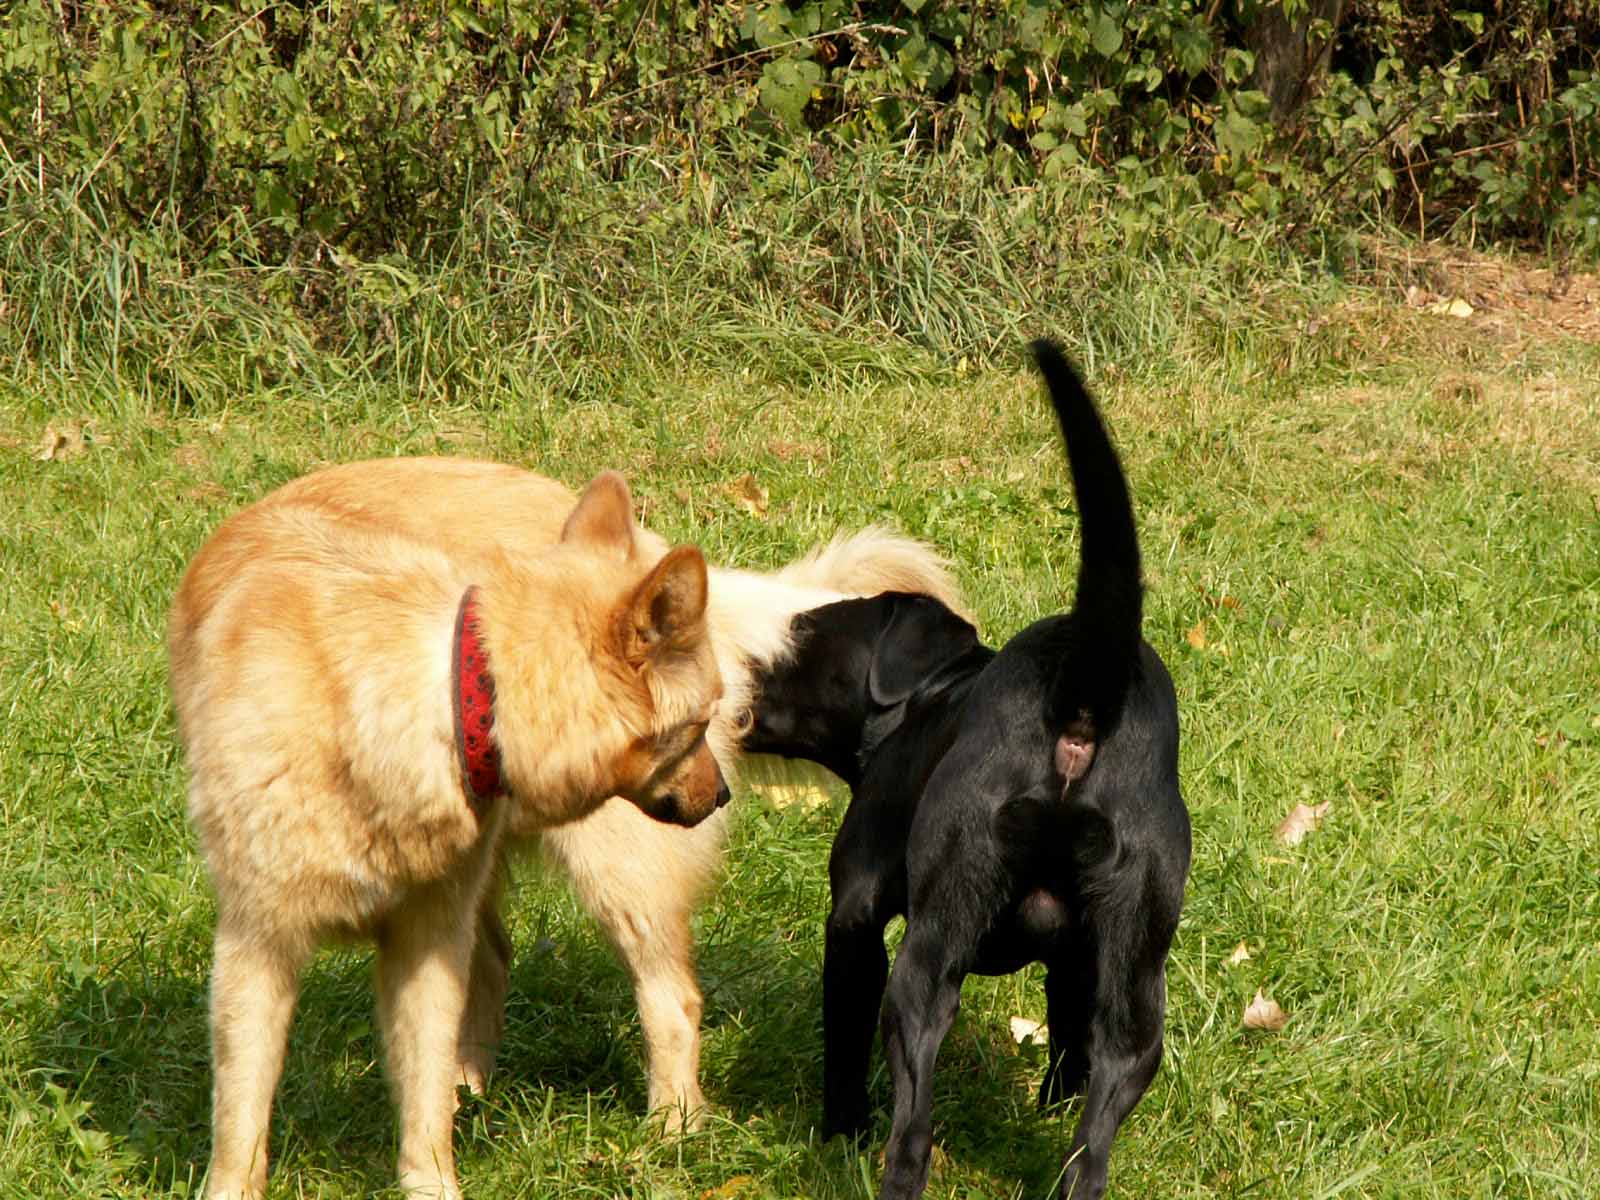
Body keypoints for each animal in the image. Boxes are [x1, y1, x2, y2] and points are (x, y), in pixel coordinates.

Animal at [173, 464, 726, 1196]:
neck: (455, 690)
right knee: (497, 960)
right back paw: (480, 1091)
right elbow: (242, 1115)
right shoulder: (259, 942)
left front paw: (431, 1181)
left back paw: (673, 1132)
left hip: (619, 877)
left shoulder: (425, 942)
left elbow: (422, 1098)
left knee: (673, 998)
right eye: (699, 724)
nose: (720, 796)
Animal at [742, 340, 1184, 1200]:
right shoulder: (1080, 961)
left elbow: (842, 1037)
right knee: (1095, 1135)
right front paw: (1049, 1108)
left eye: (802, 634)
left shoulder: (855, 915)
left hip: (931, 954)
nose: (735, 670)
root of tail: (1081, 698)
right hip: (1136, 979)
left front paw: (836, 1132)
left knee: (912, 1130)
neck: (929, 695)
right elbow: (1069, 1050)